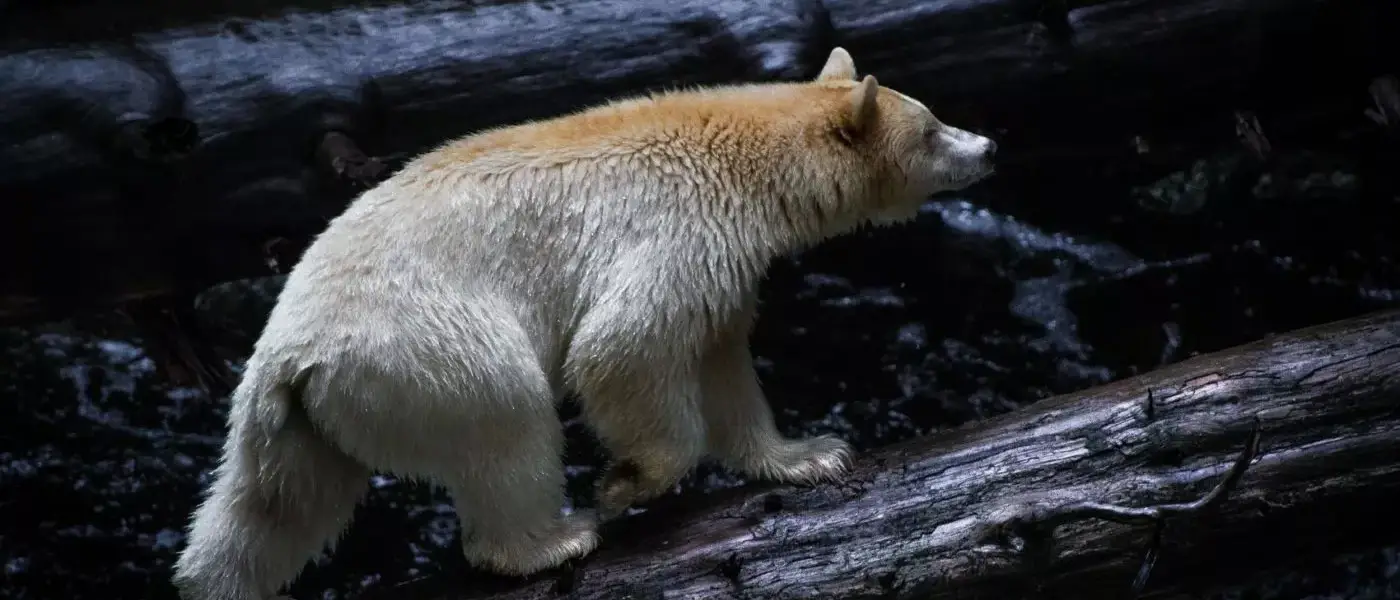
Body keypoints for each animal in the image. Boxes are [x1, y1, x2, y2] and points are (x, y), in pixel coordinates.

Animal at [171, 46, 997, 600]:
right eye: (931, 128)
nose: (989, 145)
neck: (744, 165)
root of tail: (288, 356)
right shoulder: (676, 228)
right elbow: (624, 348)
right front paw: (625, 482)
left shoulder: (725, 264)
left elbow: (722, 360)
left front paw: (809, 453)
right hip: (420, 349)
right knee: (506, 420)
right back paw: (553, 540)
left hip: (298, 423)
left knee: (267, 515)